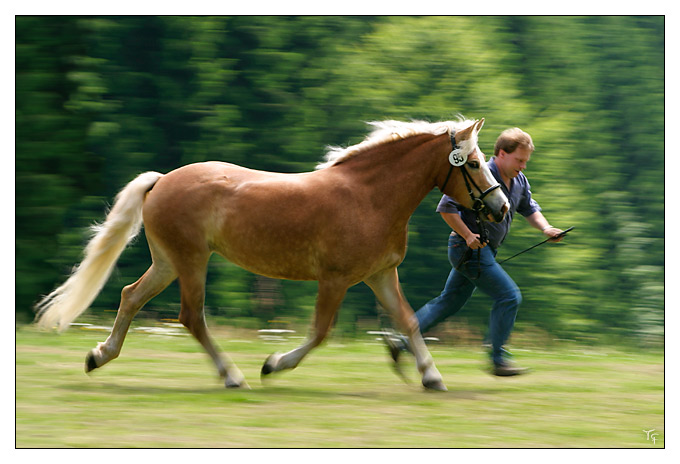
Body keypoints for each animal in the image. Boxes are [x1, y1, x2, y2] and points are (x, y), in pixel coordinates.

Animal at [34, 117, 508, 392]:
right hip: (191, 261)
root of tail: (162, 180)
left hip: (168, 261)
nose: (501, 207)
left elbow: (408, 321)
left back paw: (99, 356)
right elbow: (319, 332)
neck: (369, 197)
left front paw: (432, 376)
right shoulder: (335, 279)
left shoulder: (380, 275)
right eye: (473, 163)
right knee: (191, 316)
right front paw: (273, 364)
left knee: (131, 296)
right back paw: (233, 376)